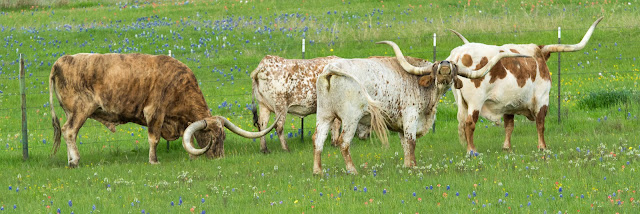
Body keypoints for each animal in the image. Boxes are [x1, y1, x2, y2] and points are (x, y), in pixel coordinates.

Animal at [48, 53, 278, 167]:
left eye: (224, 137)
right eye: (211, 137)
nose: (219, 158)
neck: (179, 84)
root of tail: (60, 61)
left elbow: (187, 139)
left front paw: (193, 158)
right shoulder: (154, 113)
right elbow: (154, 139)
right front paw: (154, 160)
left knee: (69, 133)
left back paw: (70, 159)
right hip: (80, 110)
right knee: (69, 131)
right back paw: (75, 161)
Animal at [312, 41, 528, 174]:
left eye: (454, 67)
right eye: (436, 65)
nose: (445, 65)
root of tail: (331, 69)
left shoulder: (400, 124)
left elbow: (405, 144)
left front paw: (408, 164)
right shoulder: (410, 116)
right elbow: (412, 141)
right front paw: (413, 167)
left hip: (324, 115)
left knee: (318, 140)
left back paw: (317, 171)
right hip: (351, 117)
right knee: (343, 142)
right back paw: (352, 170)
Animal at [448, 17, 604, 153]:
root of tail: (459, 54)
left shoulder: (508, 105)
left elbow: (509, 125)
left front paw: (507, 147)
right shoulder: (542, 99)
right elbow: (540, 124)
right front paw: (542, 147)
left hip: (463, 102)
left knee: (464, 123)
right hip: (476, 101)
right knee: (470, 123)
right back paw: (472, 151)